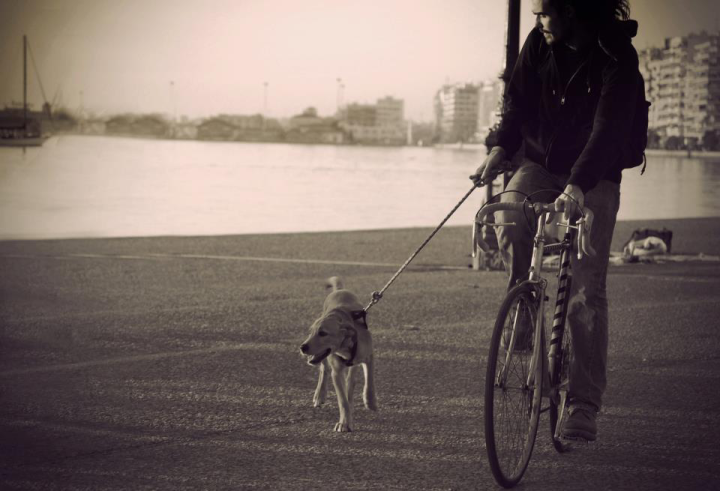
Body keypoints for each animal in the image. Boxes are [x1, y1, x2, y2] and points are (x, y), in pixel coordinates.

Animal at [299, 276, 377, 432]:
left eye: (323, 333)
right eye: (311, 332)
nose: (302, 347)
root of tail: (340, 290)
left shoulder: (369, 357)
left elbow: (369, 382)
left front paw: (370, 402)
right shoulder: (336, 372)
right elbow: (342, 401)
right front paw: (344, 423)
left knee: (351, 379)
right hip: (325, 361)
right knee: (324, 370)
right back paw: (320, 395)